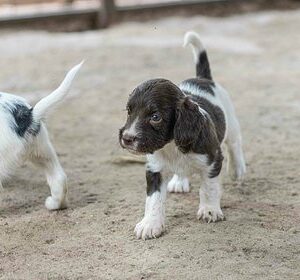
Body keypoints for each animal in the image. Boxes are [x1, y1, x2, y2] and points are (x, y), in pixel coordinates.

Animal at [118, 31, 245, 241]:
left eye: (155, 117)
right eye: (129, 111)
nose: (127, 138)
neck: (171, 145)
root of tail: (202, 78)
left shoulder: (213, 159)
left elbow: (209, 188)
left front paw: (210, 210)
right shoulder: (154, 169)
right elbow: (153, 200)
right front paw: (150, 224)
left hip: (231, 122)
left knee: (234, 144)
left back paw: (237, 169)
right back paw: (179, 181)